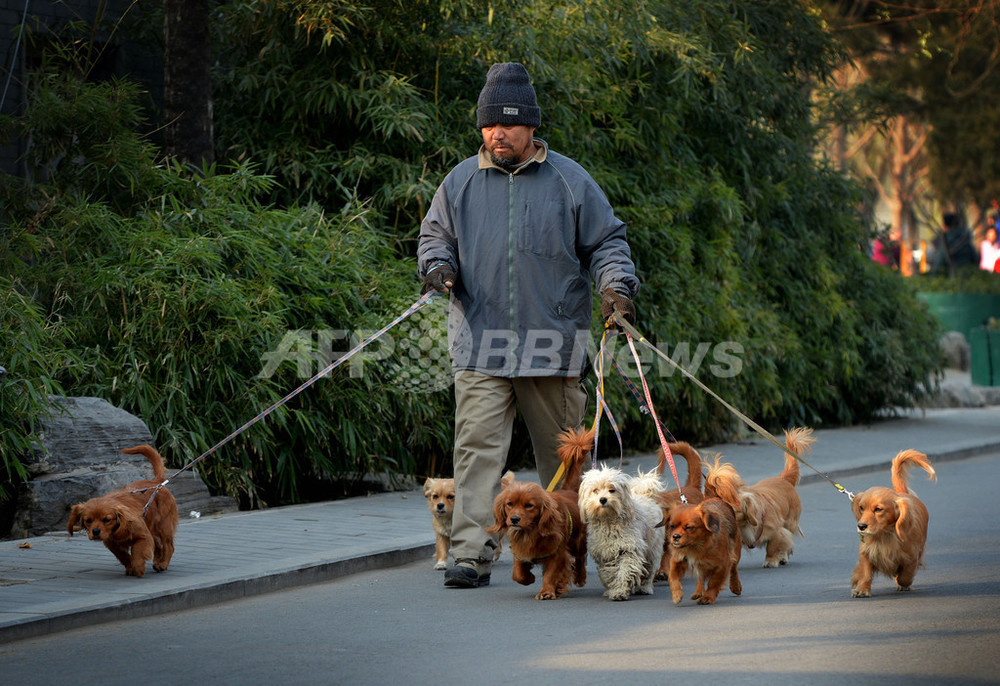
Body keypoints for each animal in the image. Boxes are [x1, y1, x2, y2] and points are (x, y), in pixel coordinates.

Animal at [68, 448, 180, 576]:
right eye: (88, 520)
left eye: (107, 520)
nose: (95, 532)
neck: (119, 528)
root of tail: (156, 483)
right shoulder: (112, 543)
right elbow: (123, 555)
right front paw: (130, 567)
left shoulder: (143, 536)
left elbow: (137, 550)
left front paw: (138, 567)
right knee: (159, 545)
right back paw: (157, 562)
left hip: (164, 526)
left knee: (168, 546)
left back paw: (163, 564)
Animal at [488, 428, 588, 600]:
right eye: (509, 504)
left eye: (529, 506)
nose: (514, 519)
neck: (531, 532)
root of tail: (568, 490)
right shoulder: (519, 551)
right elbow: (518, 574)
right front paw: (529, 578)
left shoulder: (557, 554)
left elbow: (551, 574)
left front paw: (546, 591)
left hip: (578, 541)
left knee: (581, 558)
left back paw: (579, 578)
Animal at [704, 430, 812, 568]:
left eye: (732, 510)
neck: (744, 527)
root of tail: (783, 478)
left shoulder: (778, 531)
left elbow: (773, 547)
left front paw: (771, 561)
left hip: (790, 523)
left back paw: (783, 557)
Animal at [852, 448, 936, 600]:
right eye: (861, 507)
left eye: (878, 509)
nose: (861, 526)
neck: (884, 535)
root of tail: (902, 493)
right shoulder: (866, 552)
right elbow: (865, 572)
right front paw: (862, 589)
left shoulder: (912, 556)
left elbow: (905, 576)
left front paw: (903, 583)